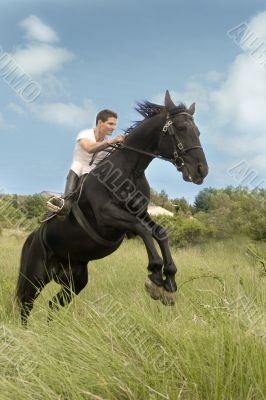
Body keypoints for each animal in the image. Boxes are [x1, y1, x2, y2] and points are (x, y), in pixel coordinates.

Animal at [16, 90, 208, 324]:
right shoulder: (107, 217)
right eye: (181, 128)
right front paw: (155, 276)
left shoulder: (141, 213)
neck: (129, 171)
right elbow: (143, 230)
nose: (201, 170)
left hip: (75, 281)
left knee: (53, 305)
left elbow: (160, 232)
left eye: (198, 131)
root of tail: (32, 237)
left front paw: (169, 282)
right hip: (35, 277)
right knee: (25, 305)